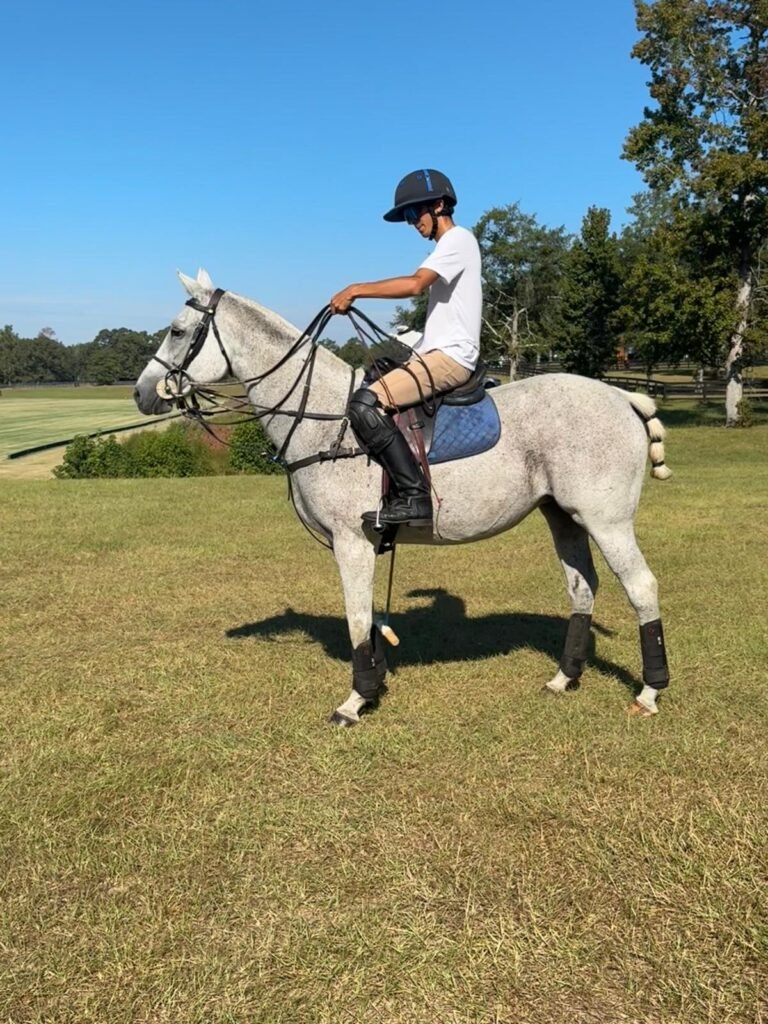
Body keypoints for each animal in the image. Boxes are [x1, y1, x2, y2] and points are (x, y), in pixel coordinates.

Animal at [134, 269, 673, 725]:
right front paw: (374, 685)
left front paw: (355, 701)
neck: (321, 416)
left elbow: (356, 618)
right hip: (562, 515)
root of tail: (624, 397)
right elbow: (370, 615)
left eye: (177, 331)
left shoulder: (351, 540)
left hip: (606, 519)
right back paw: (564, 678)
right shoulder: (363, 543)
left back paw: (649, 692)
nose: (142, 394)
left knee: (641, 586)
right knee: (582, 588)